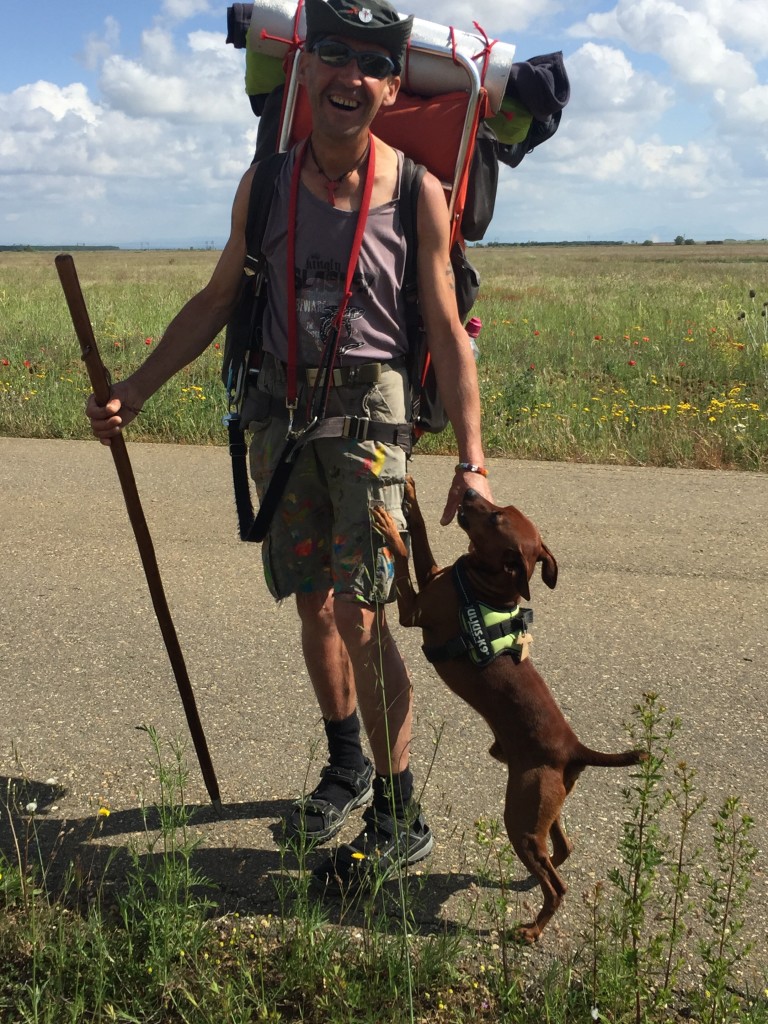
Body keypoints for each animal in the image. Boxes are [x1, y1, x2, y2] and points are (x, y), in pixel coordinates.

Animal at [370, 479, 643, 942]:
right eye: (502, 505)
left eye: (497, 516)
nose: (467, 494)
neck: (485, 587)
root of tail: (574, 749)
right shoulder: (434, 574)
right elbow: (420, 535)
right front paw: (409, 495)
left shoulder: (414, 611)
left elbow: (405, 556)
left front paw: (390, 528)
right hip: (542, 812)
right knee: (561, 850)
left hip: (520, 817)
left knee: (557, 884)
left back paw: (532, 929)